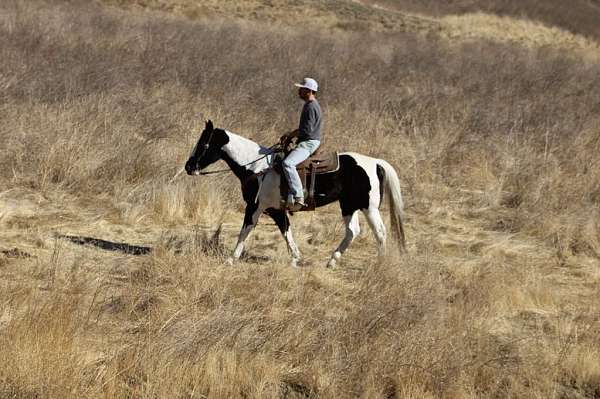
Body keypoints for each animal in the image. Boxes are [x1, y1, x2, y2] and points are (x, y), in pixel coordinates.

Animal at [184, 120, 408, 268]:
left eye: (203, 144)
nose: (188, 167)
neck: (257, 168)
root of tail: (376, 162)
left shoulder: (255, 207)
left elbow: (245, 230)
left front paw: (231, 258)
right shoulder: (275, 210)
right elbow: (286, 231)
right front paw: (296, 257)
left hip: (368, 207)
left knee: (380, 232)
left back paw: (379, 264)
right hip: (348, 205)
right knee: (353, 231)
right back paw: (332, 261)